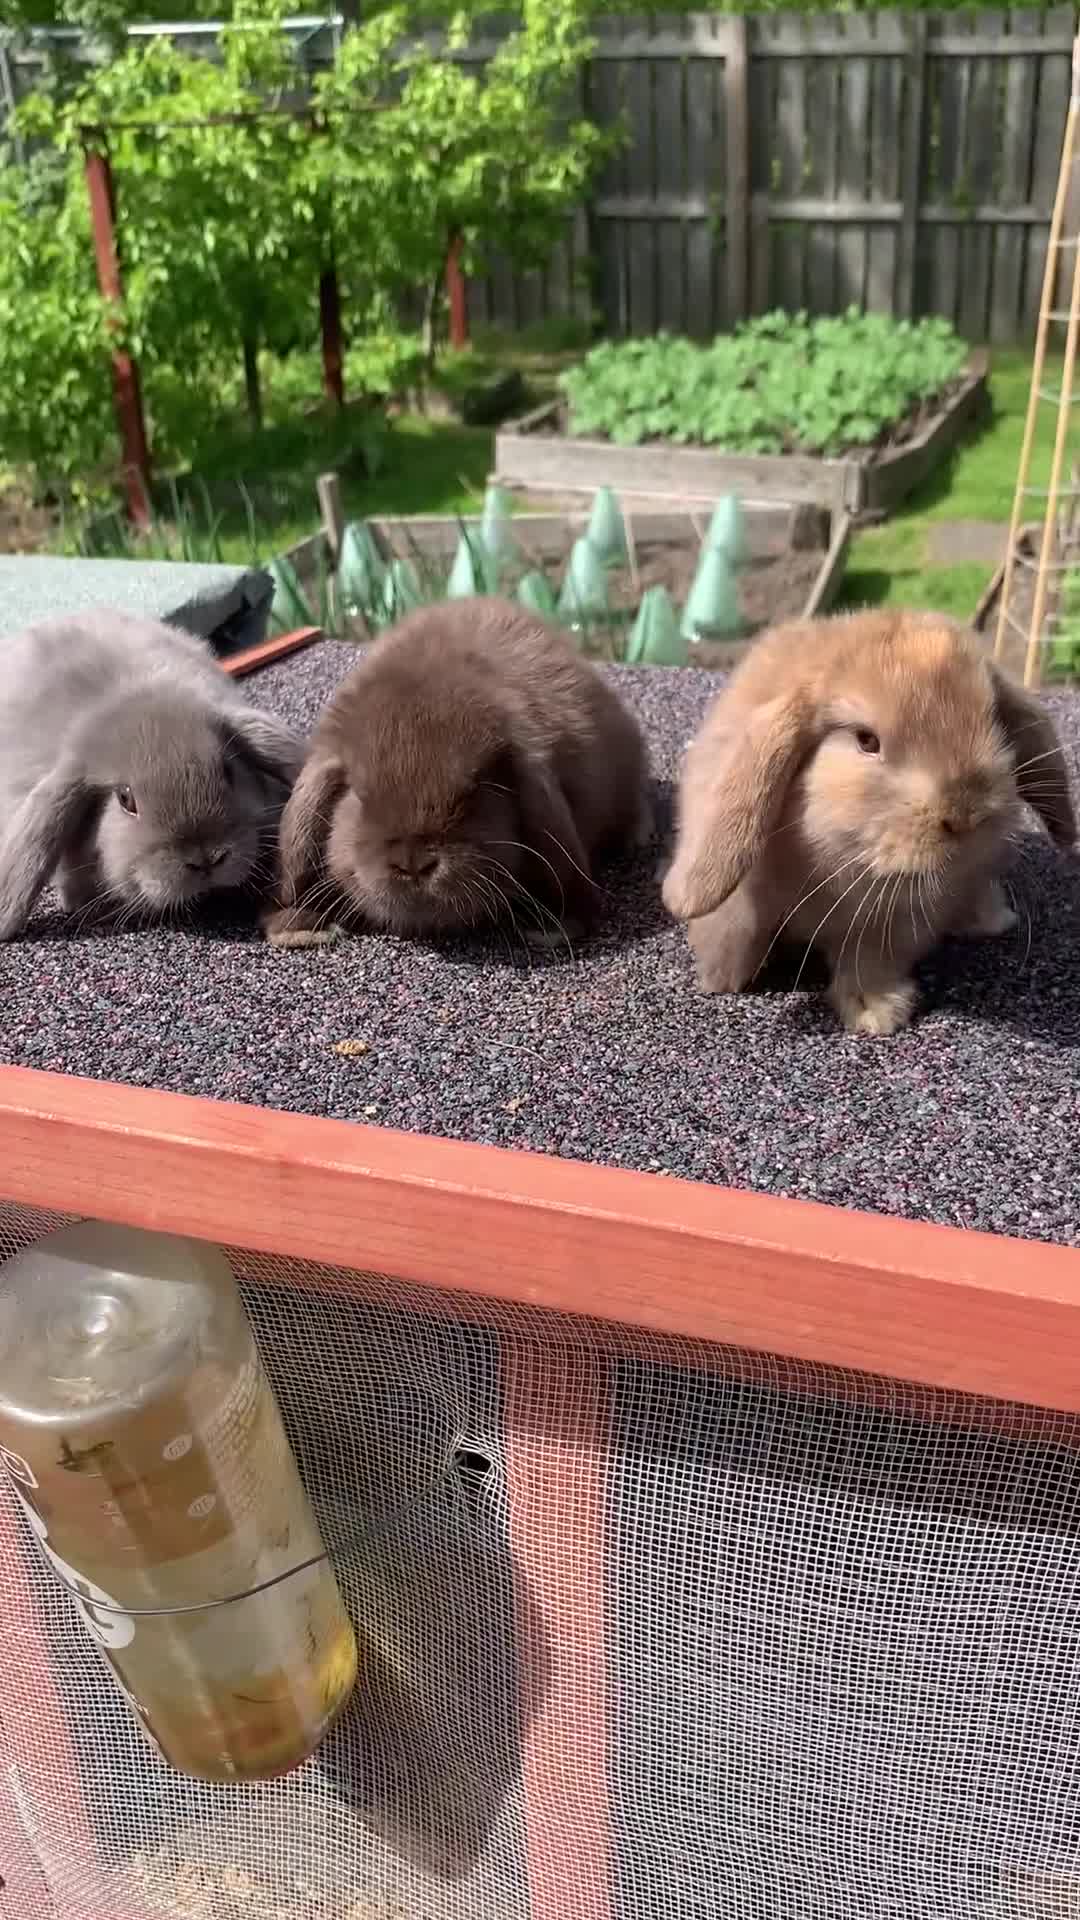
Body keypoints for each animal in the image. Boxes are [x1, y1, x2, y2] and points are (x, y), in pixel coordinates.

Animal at [661, 609, 1076, 1036]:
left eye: (994, 721)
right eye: (866, 740)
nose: (965, 815)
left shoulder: (894, 922)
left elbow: (870, 959)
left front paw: (874, 1013)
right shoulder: (743, 897)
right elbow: (735, 929)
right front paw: (721, 979)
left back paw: (991, 918)